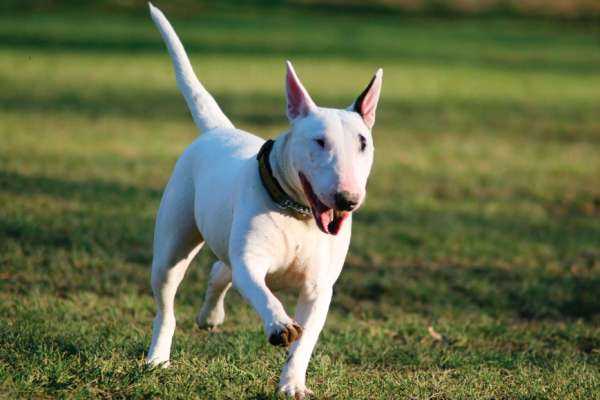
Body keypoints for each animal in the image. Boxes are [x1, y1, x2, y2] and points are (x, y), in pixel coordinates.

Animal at [144, 3, 380, 396]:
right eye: (319, 141)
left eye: (363, 143)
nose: (347, 199)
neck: (298, 213)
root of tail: (220, 130)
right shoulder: (251, 261)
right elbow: (261, 291)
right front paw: (279, 325)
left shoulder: (319, 288)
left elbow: (305, 342)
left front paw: (292, 384)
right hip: (173, 245)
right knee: (168, 304)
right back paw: (157, 357)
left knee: (219, 270)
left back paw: (210, 316)